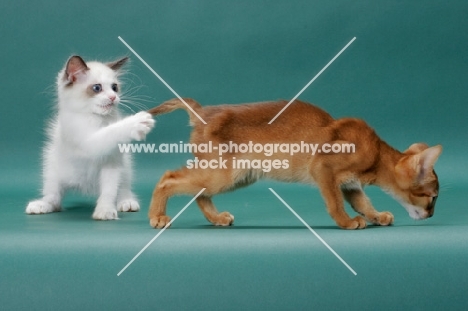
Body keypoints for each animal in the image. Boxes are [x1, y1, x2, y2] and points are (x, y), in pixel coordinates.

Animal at [26, 56, 155, 222]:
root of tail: (85, 186)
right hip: (52, 168)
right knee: (53, 198)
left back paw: (127, 202)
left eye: (114, 87)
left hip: (125, 166)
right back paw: (41, 205)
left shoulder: (111, 164)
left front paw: (105, 210)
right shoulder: (86, 142)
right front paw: (136, 122)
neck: (96, 119)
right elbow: (109, 132)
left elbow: (109, 191)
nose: (113, 97)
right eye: (97, 88)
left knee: (123, 187)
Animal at [147, 98, 442, 230]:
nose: (431, 215)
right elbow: (335, 203)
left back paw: (216, 218)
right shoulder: (323, 168)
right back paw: (157, 216)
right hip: (225, 174)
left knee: (197, 191)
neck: (378, 152)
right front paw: (346, 222)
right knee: (168, 177)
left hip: (237, 176)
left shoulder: (350, 183)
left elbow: (362, 202)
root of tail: (203, 111)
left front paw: (377, 215)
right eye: (433, 198)